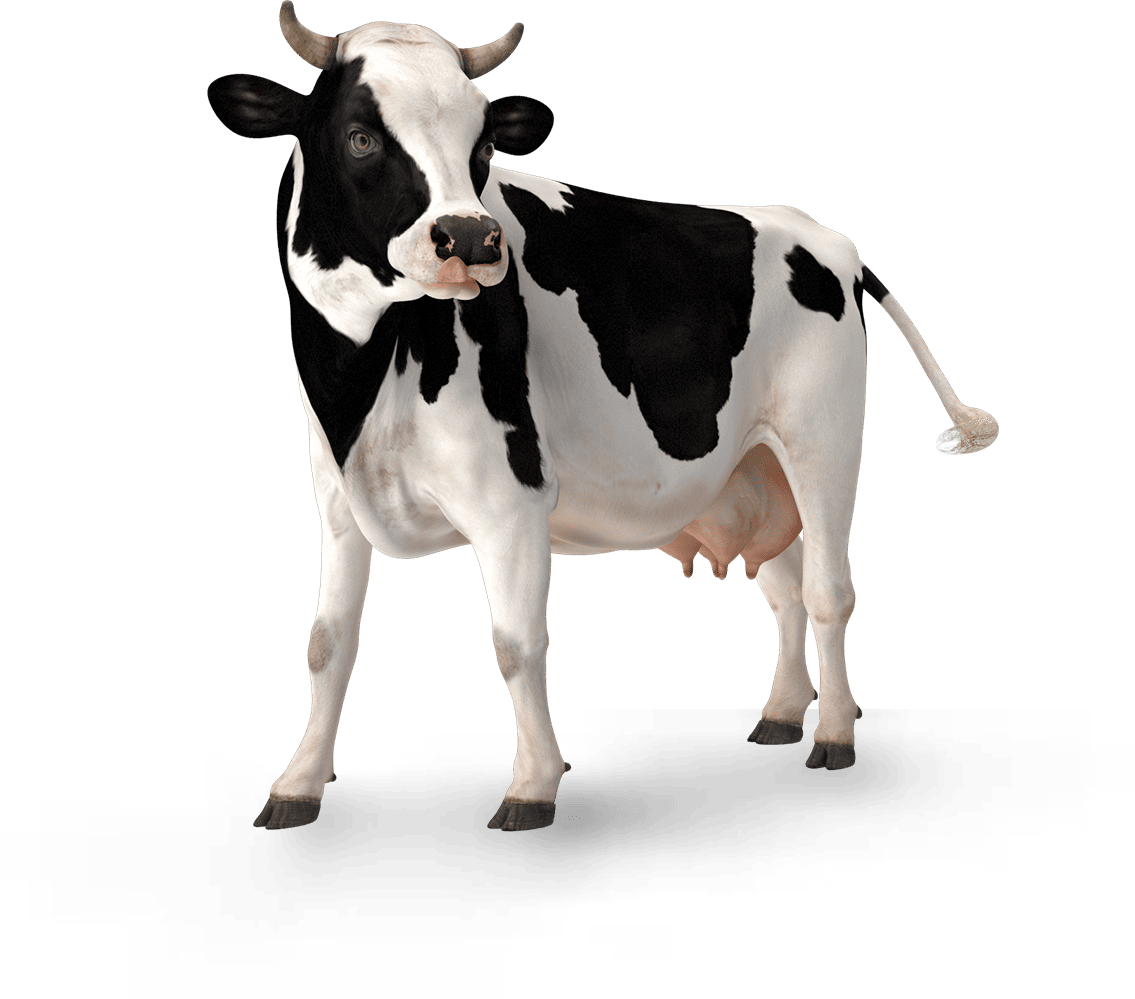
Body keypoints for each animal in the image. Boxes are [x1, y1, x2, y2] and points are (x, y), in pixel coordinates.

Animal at [207, 3, 998, 832]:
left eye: (484, 143)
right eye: (359, 136)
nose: (472, 238)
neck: (361, 377)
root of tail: (825, 238)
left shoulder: (512, 500)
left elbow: (516, 642)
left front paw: (532, 784)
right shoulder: (337, 497)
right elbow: (326, 644)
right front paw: (298, 782)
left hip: (823, 445)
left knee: (826, 592)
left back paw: (835, 733)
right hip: (753, 468)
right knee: (782, 587)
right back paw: (781, 716)